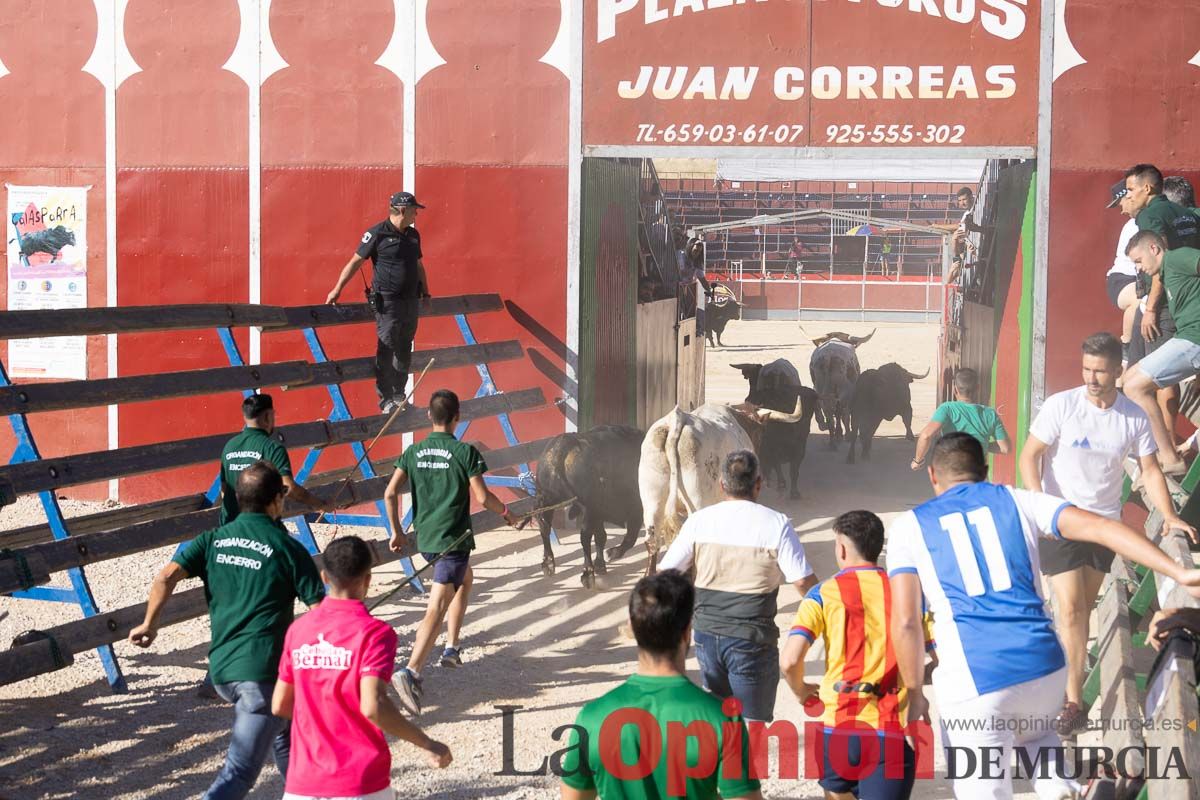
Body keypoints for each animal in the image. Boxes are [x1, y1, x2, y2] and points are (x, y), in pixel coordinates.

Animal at [528, 424, 643, 587]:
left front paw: (601, 564)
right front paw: (611, 554)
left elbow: (602, 536)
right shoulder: (634, 510)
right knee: (585, 536)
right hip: (590, 507)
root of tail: (566, 442)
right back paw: (588, 573)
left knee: (545, 527)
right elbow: (629, 538)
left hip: (548, 499)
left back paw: (548, 564)